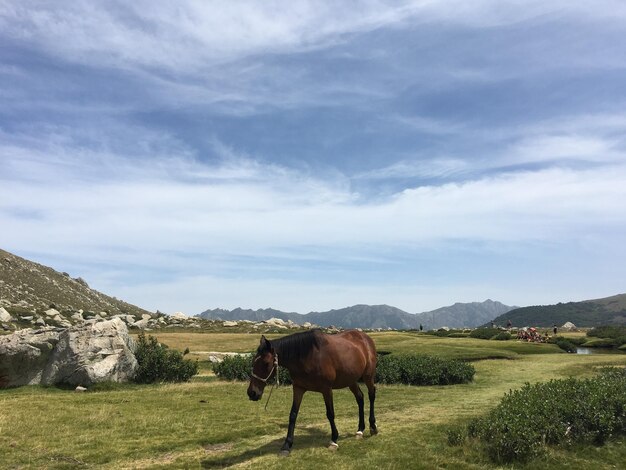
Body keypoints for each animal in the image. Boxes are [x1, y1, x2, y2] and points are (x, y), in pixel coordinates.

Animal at [246, 328, 378, 454]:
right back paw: (360, 430)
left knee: (371, 395)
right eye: (253, 362)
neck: (309, 356)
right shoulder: (298, 388)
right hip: (351, 380)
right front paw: (287, 445)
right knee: (360, 398)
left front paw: (334, 440)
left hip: (368, 376)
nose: (252, 393)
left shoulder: (326, 389)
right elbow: (293, 414)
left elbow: (330, 414)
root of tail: (365, 337)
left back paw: (373, 426)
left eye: (266, 363)